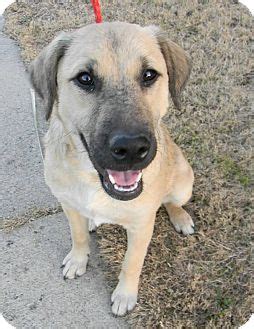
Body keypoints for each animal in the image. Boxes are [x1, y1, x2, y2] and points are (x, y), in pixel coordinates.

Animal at [28, 21, 193, 316]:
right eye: (85, 78)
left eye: (149, 75)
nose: (131, 148)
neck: (93, 181)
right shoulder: (68, 205)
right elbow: (78, 236)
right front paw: (78, 259)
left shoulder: (141, 227)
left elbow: (131, 263)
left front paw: (125, 295)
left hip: (184, 183)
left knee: (172, 202)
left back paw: (181, 217)